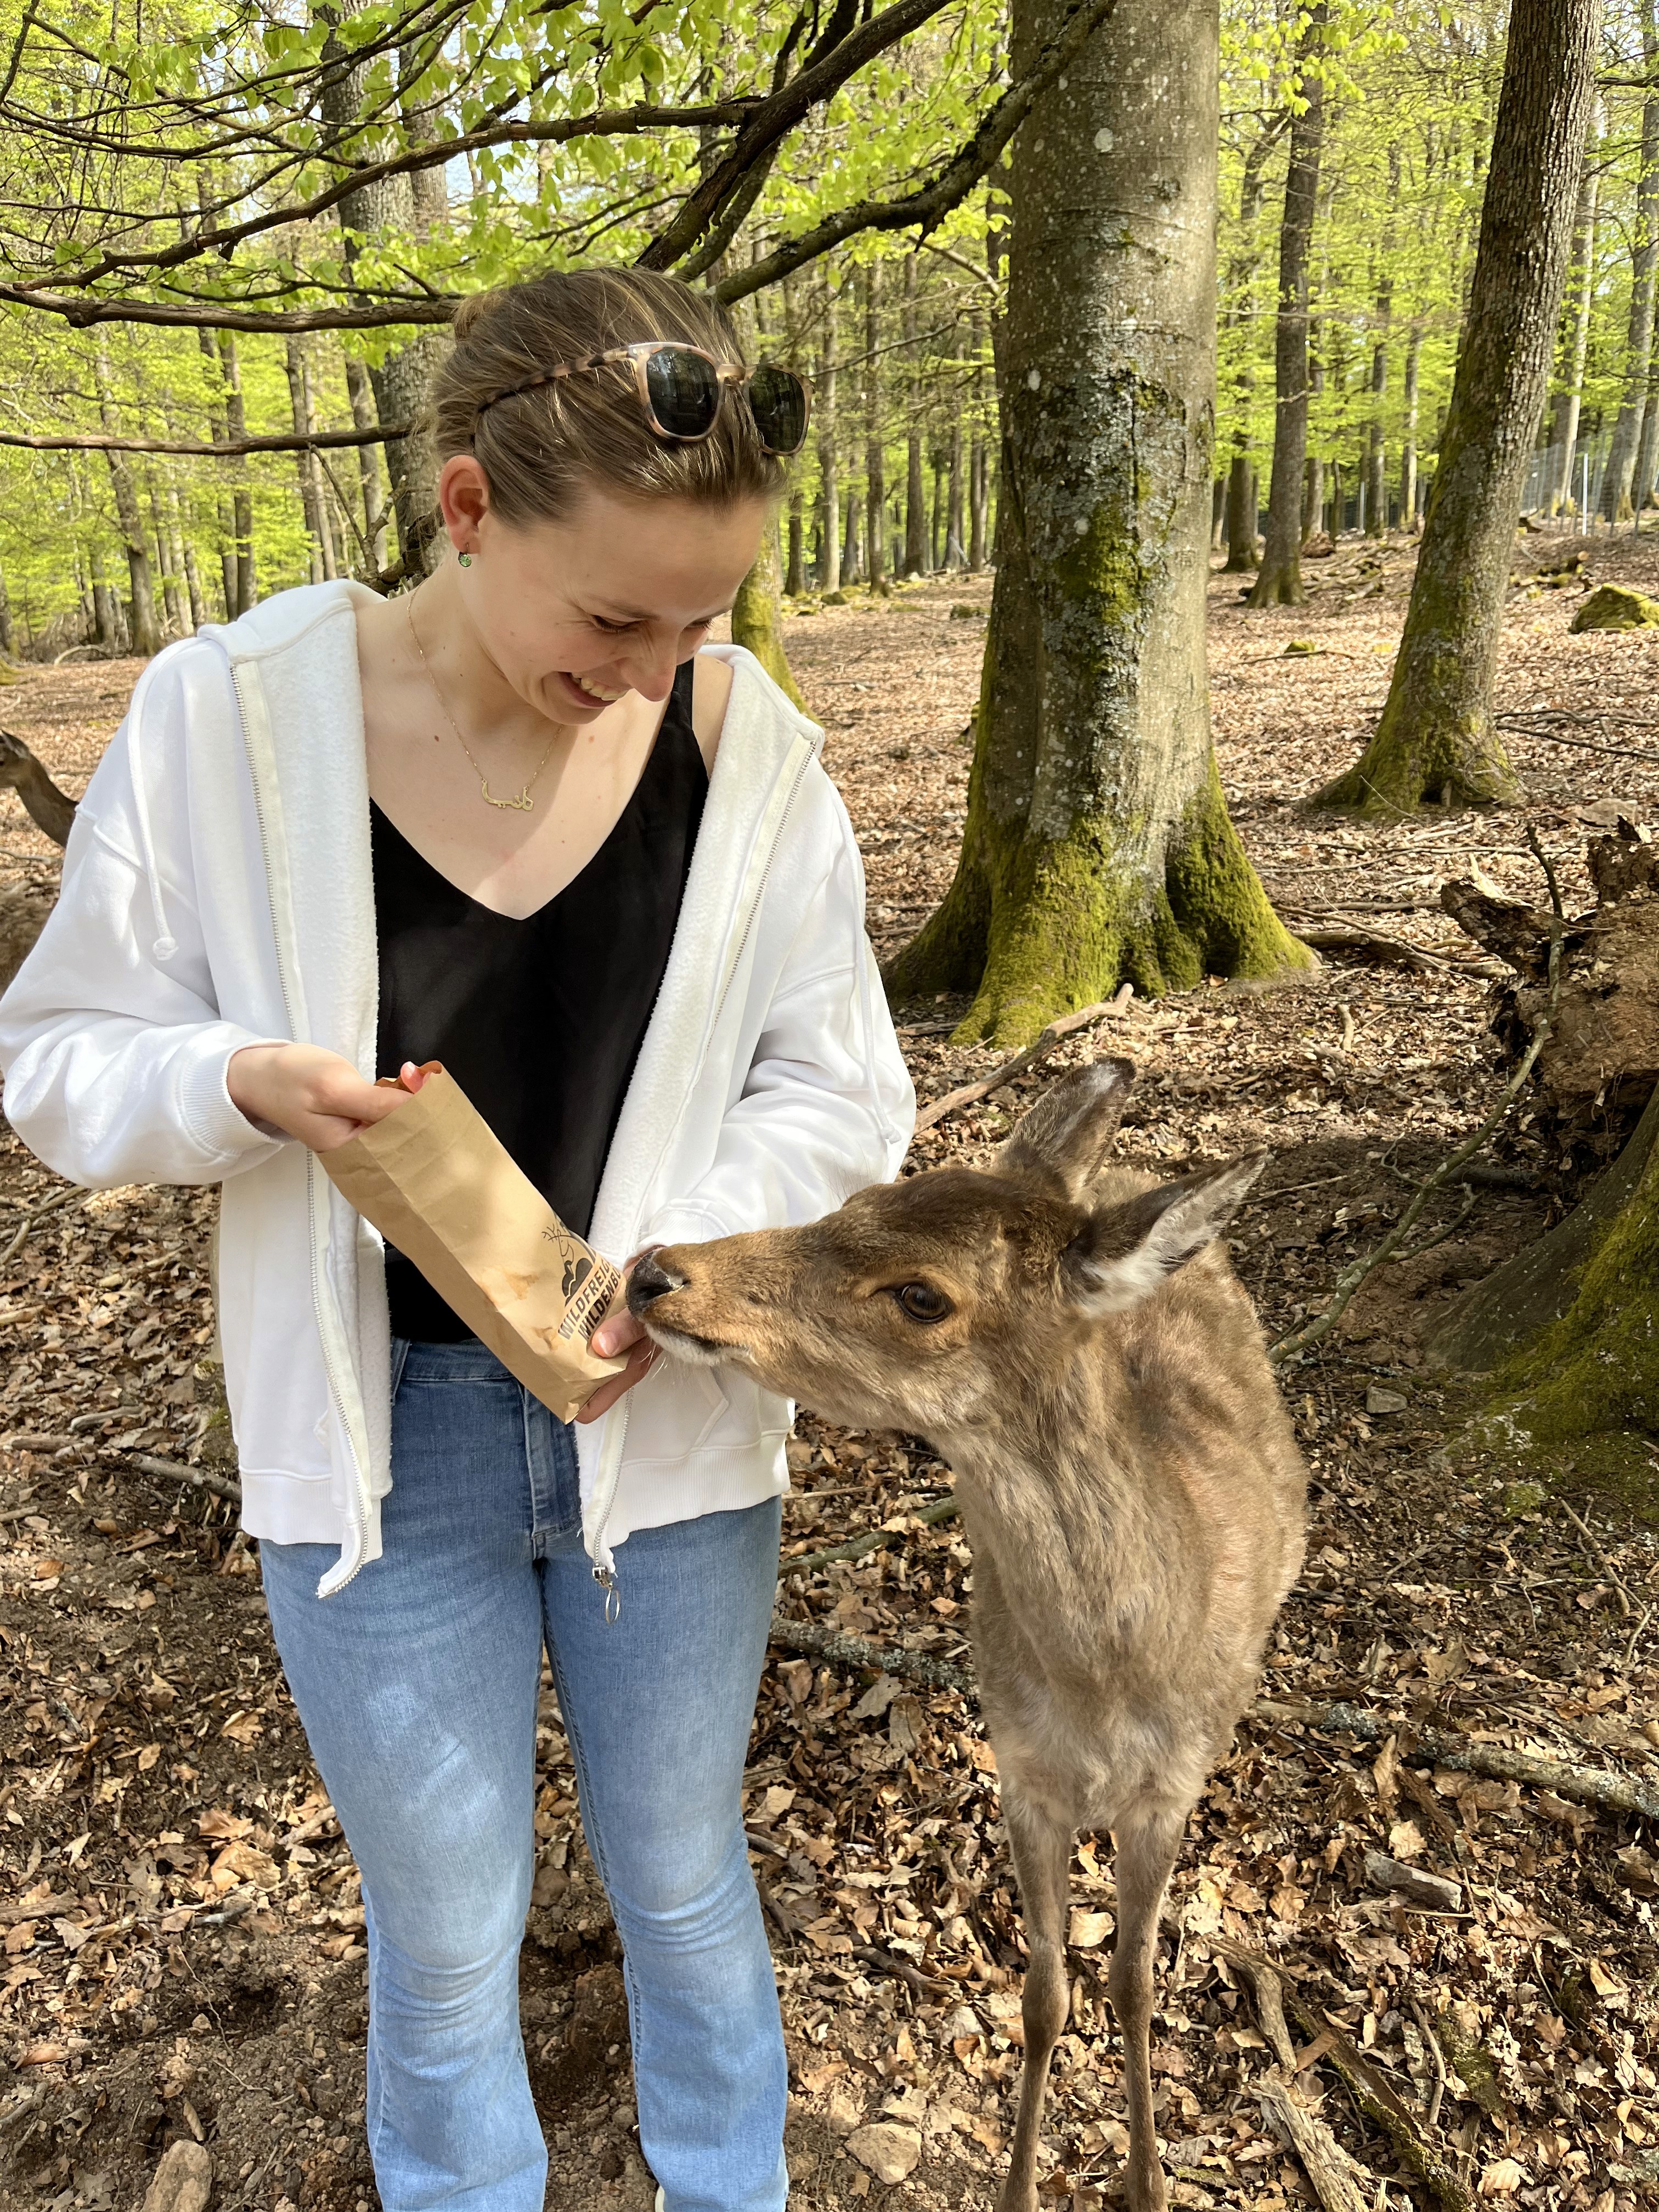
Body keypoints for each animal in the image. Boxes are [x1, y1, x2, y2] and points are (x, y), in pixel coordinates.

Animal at [626, 1057, 1307, 2212]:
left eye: (920, 1294)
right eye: (854, 1200)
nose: (654, 1272)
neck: (1112, 1678)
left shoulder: (1168, 1788)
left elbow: (1132, 1980)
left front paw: (1146, 2180)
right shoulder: (1019, 1771)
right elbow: (1041, 1993)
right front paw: (1022, 2187)